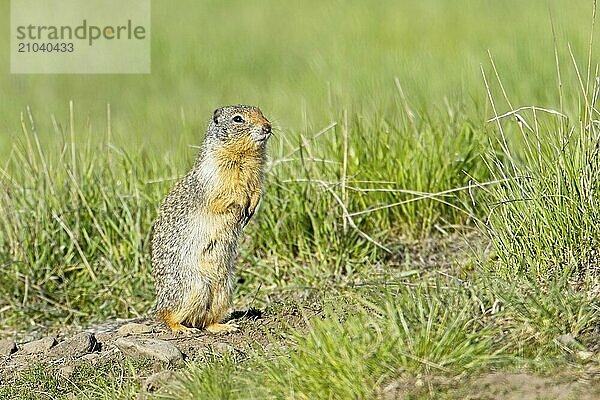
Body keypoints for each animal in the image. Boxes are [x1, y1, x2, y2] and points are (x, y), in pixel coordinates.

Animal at [150, 104, 272, 332]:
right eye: (238, 119)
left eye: (261, 112)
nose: (267, 127)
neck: (245, 156)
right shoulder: (216, 176)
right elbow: (227, 195)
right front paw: (242, 206)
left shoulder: (258, 177)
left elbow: (256, 191)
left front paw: (251, 207)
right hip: (192, 288)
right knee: (167, 315)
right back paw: (181, 328)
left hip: (223, 290)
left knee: (205, 321)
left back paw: (225, 326)